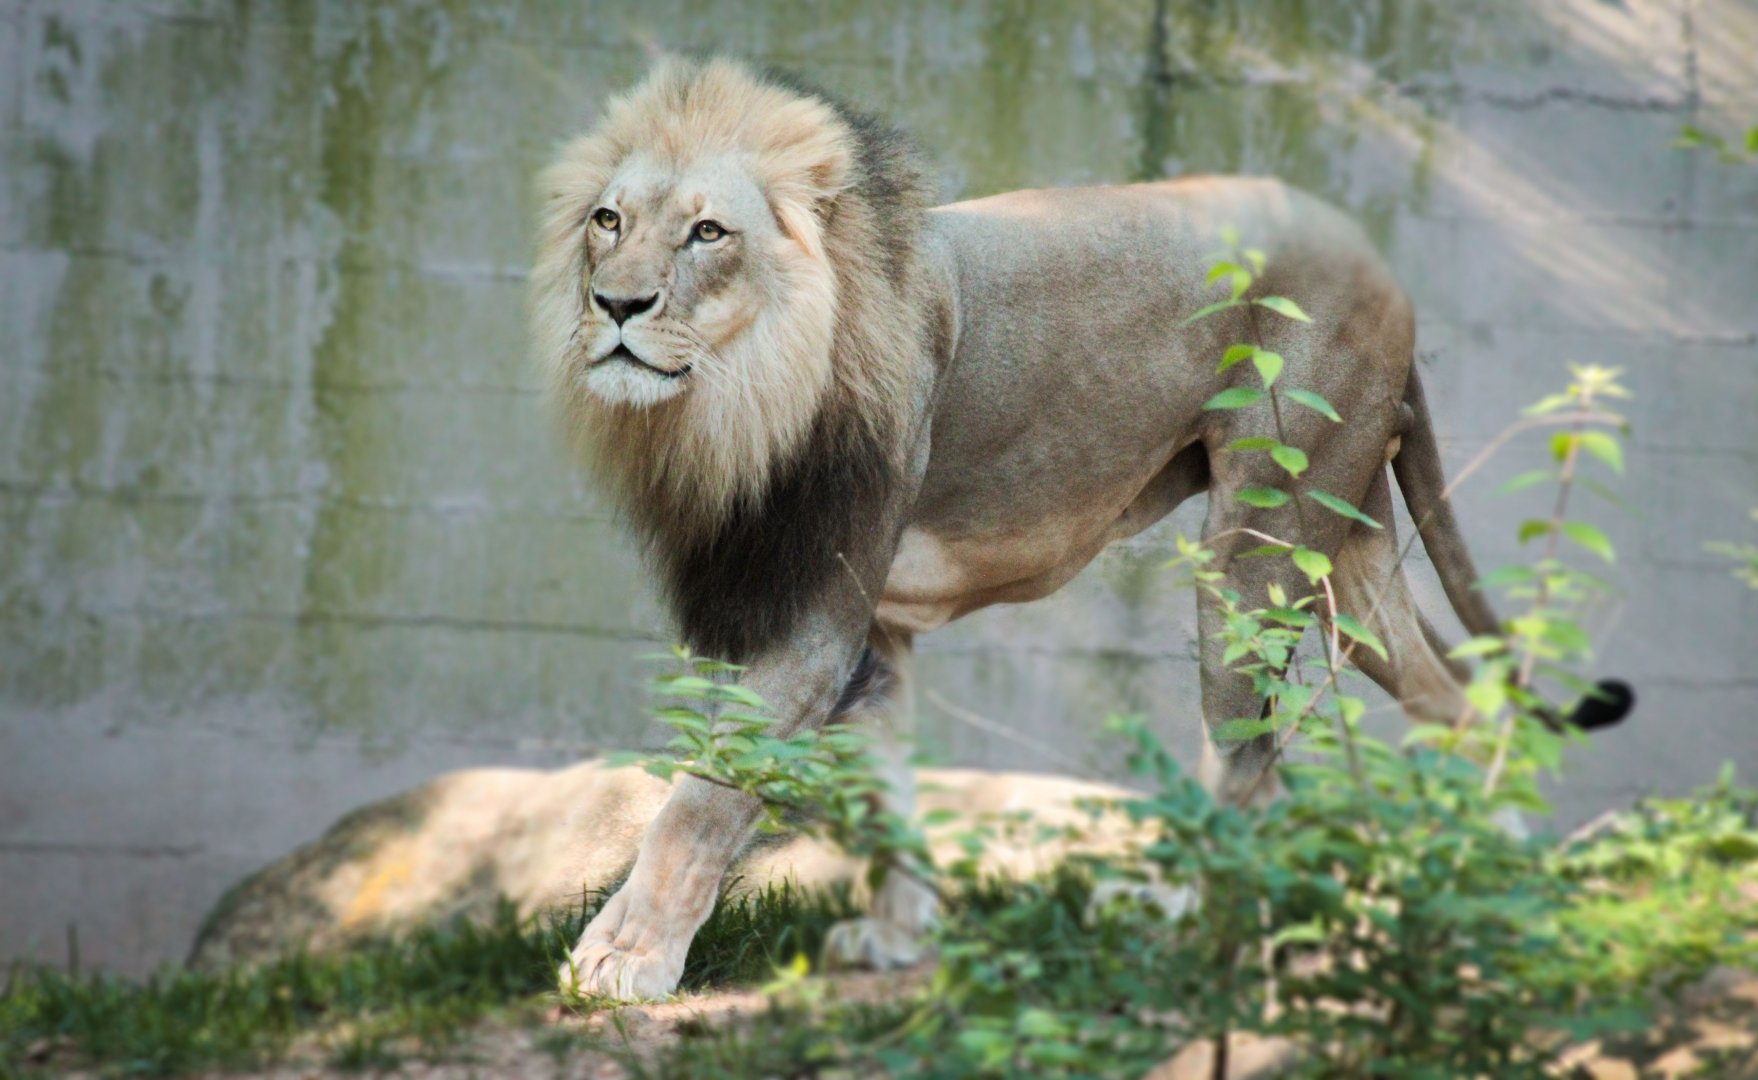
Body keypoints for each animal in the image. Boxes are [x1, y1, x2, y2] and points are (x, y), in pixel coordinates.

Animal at [531, 58, 1631, 999]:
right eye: (609, 221)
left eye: (709, 234)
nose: (614, 305)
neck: (734, 398)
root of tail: (1384, 264)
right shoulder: (869, 636)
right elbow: (886, 792)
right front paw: (898, 936)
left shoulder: (815, 618)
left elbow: (703, 799)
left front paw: (623, 961)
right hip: (1345, 552)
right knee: (1460, 701)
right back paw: (1487, 875)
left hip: (1253, 548)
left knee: (1244, 757)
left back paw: (1181, 911)